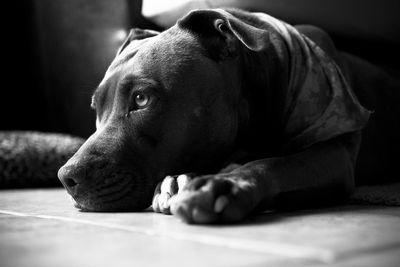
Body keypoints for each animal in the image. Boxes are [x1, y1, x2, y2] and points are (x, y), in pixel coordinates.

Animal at [57, 8, 398, 224]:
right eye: (96, 108)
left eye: (141, 99)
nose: (65, 177)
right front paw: (177, 183)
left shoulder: (334, 154)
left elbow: (275, 163)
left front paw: (223, 185)